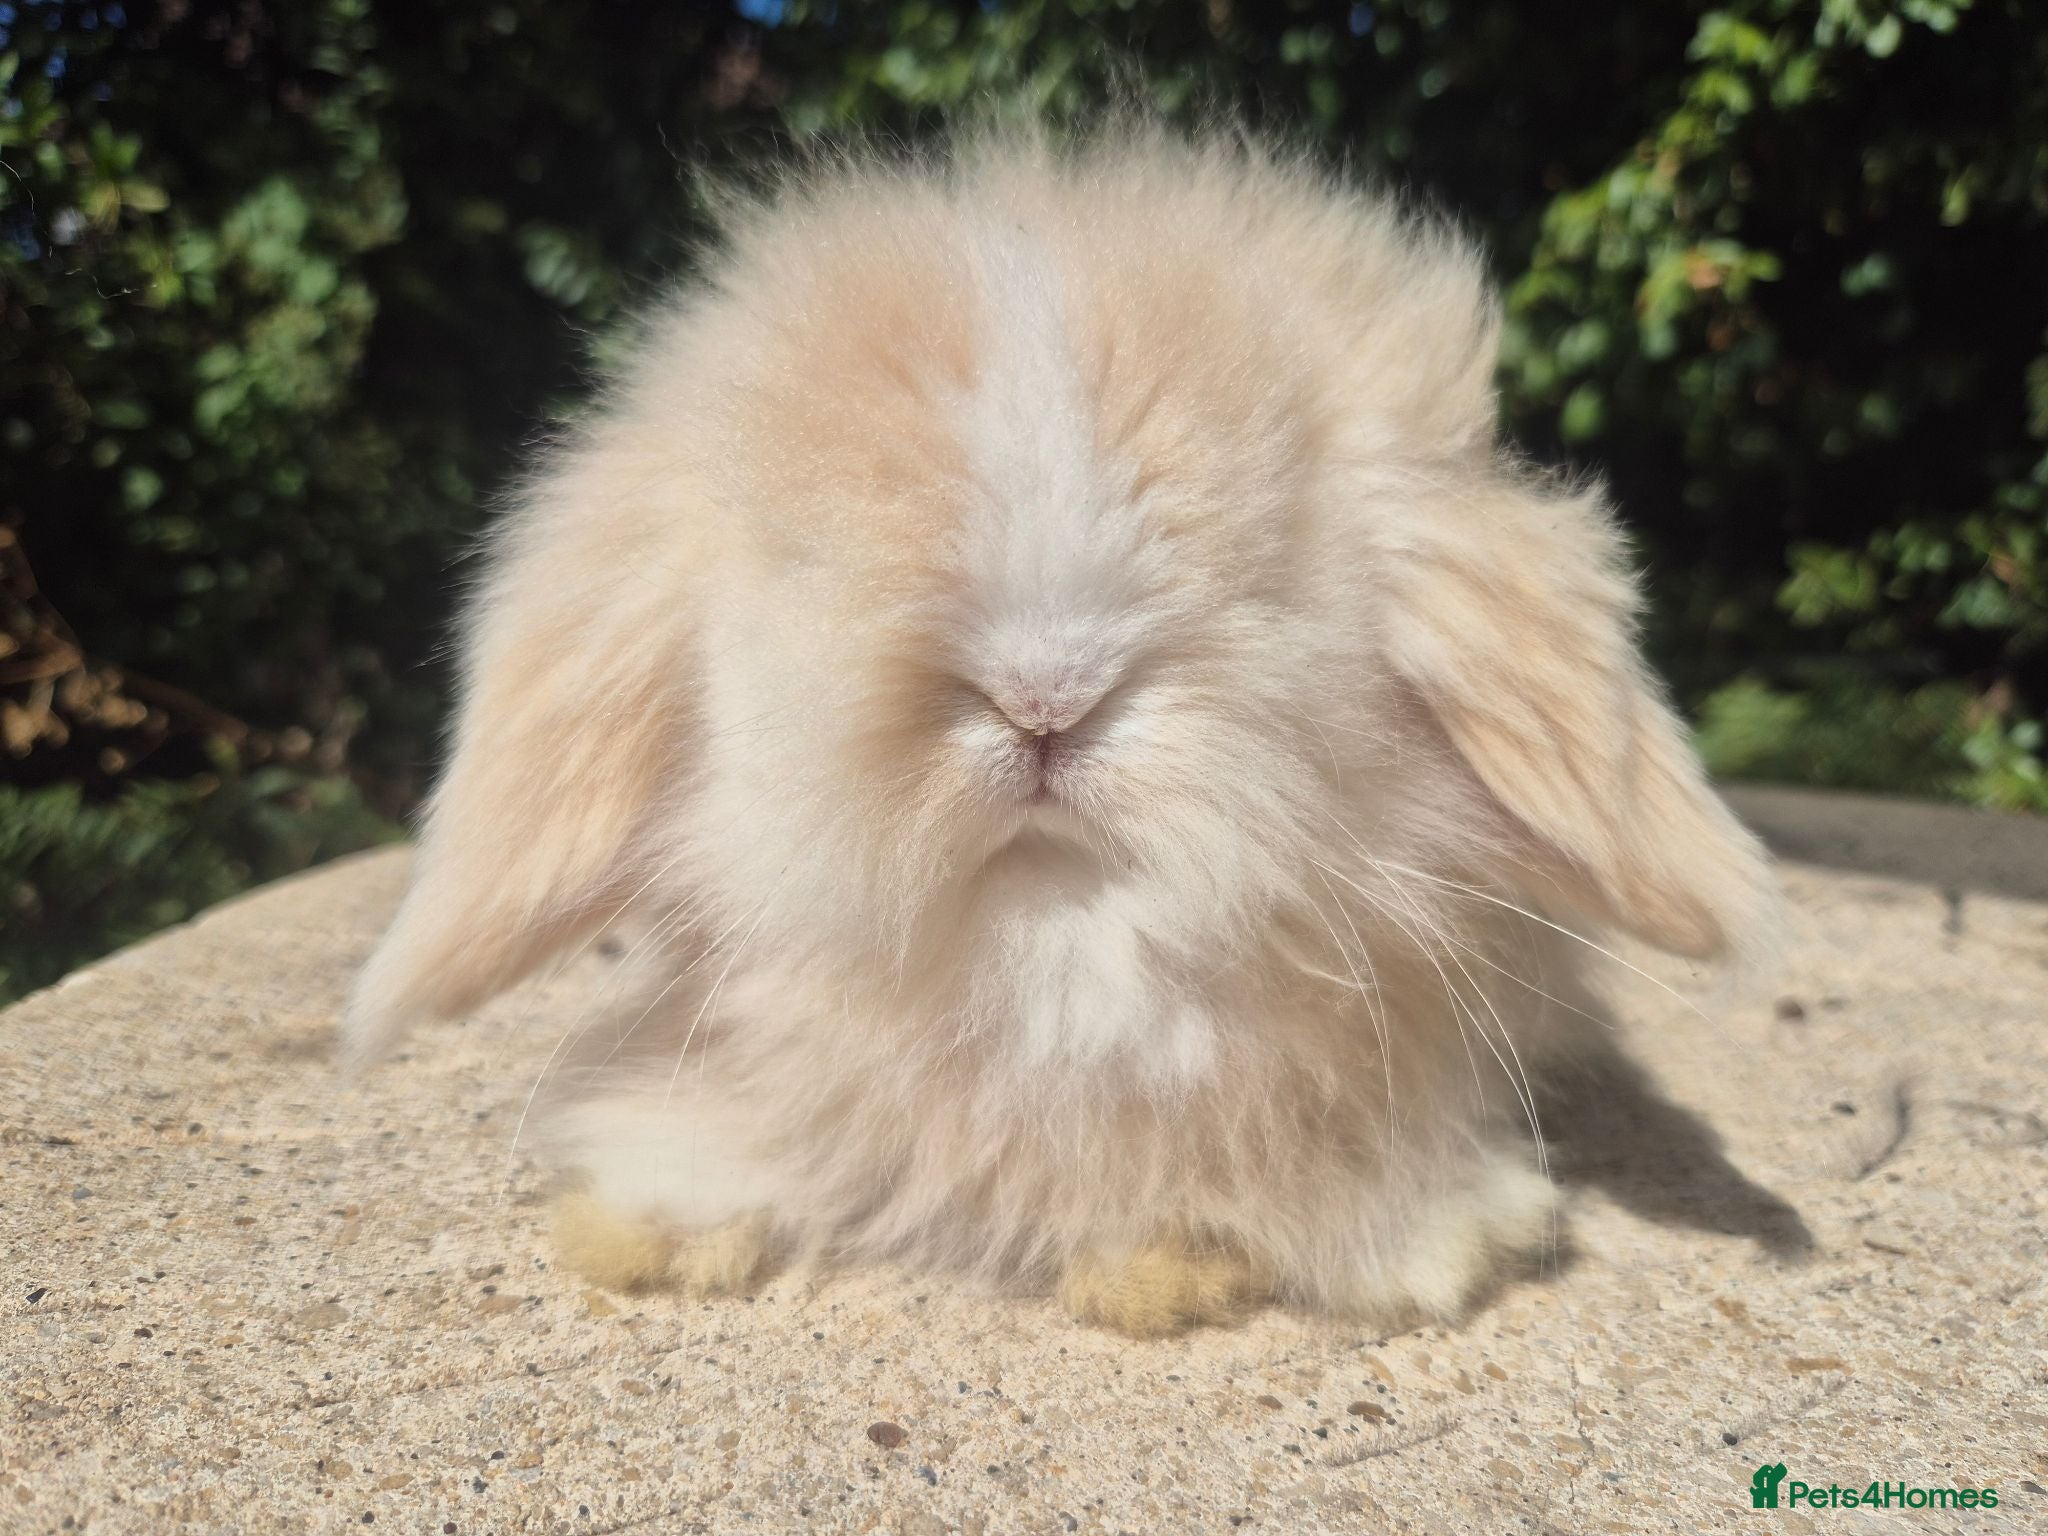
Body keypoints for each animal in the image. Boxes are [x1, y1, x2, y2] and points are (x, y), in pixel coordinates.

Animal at [341, 126, 1775, 1337]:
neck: (1054, 956)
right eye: (805, 562)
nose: (1044, 696)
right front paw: (647, 1227)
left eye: (1266, 570)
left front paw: (1250, 1260)